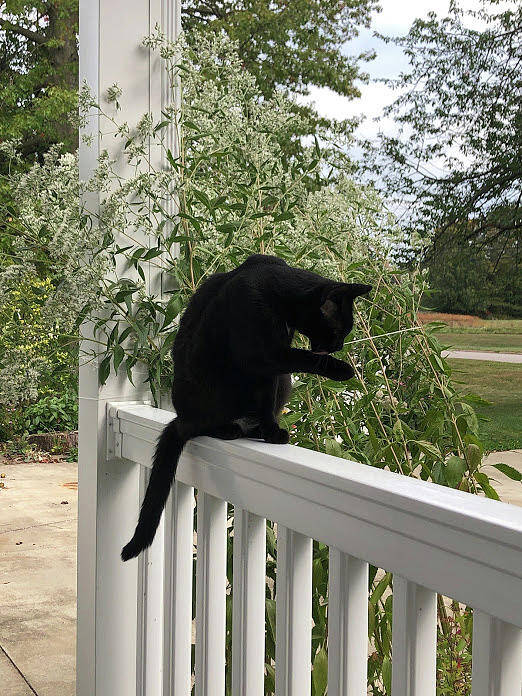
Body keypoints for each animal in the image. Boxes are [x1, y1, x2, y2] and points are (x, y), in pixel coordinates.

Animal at [121, 256, 370, 560]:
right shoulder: (261, 354)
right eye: (338, 331)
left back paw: (253, 429)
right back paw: (228, 429)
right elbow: (303, 357)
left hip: (281, 381)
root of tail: (182, 418)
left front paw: (271, 431)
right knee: (207, 424)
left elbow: (267, 402)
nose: (339, 346)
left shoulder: (273, 371)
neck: (277, 292)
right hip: (220, 380)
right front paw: (341, 369)